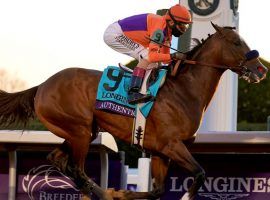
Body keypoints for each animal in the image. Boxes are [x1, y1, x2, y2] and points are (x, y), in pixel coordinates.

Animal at [0, 22, 268, 199]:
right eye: (236, 42)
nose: (261, 70)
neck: (184, 90)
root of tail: (42, 85)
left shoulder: (161, 151)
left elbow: (157, 191)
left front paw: (124, 193)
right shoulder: (172, 144)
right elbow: (200, 173)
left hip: (81, 131)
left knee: (58, 159)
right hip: (79, 130)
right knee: (76, 169)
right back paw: (104, 192)